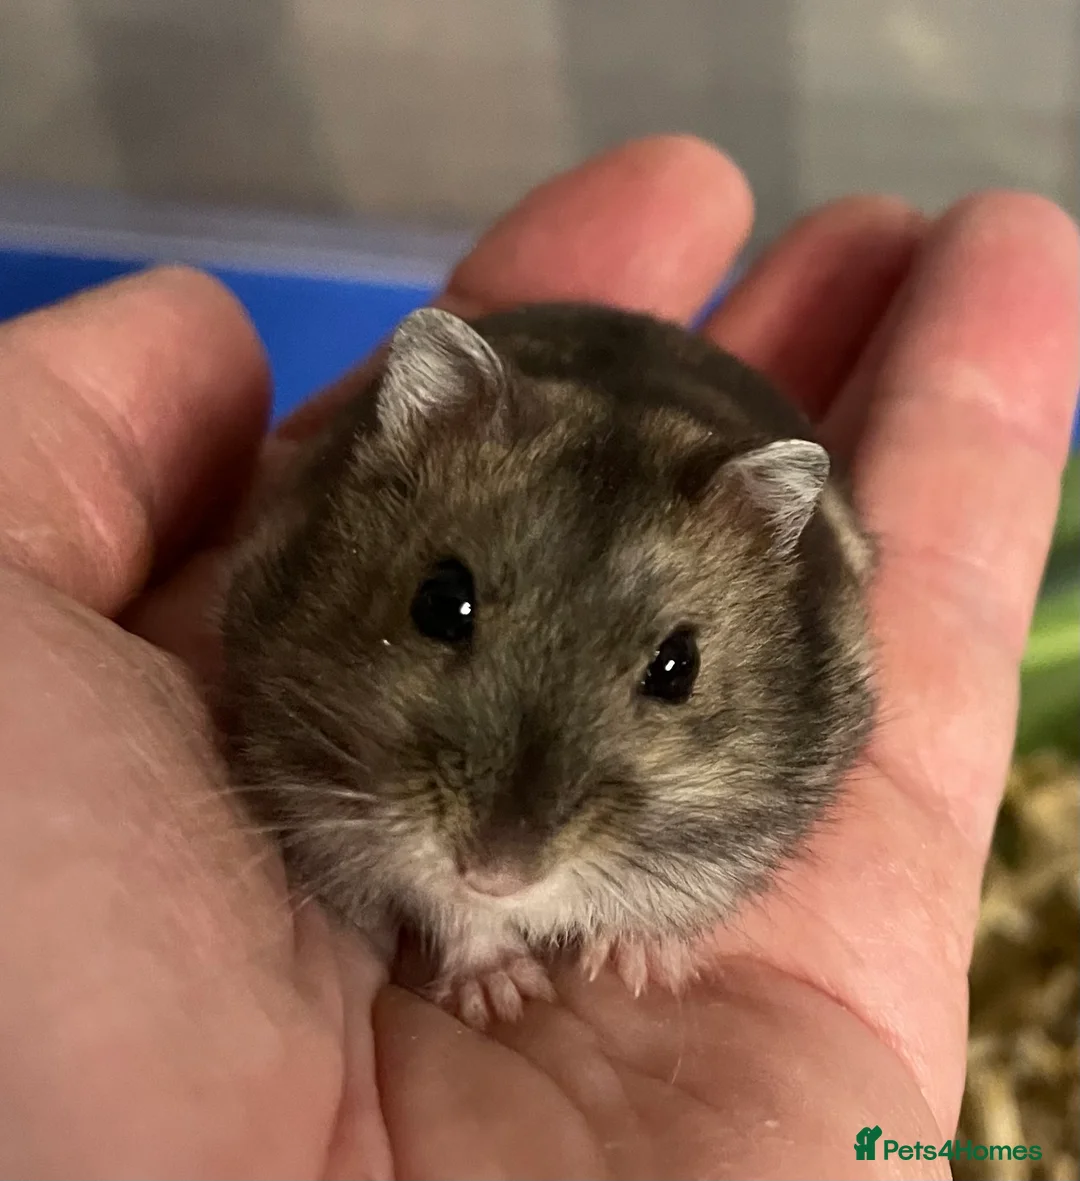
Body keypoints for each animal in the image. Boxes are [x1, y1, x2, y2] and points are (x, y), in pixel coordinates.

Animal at [218, 302, 876, 1028]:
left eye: (679, 667)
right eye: (440, 602)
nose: (495, 874)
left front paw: (640, 968)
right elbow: (454, 910)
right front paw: (505, 997)